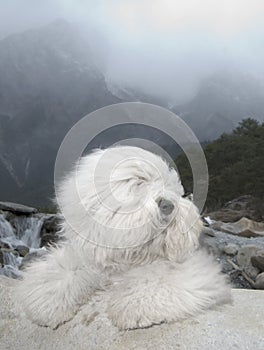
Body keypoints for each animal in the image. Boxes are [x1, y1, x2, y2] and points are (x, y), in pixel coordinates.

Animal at [17, 146, 231, 330]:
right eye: (138, 183)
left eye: (169, 187)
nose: (168, 205)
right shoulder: (88, 257)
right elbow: (63, 272)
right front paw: (47, 306)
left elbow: (156, 279)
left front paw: (132, 308)